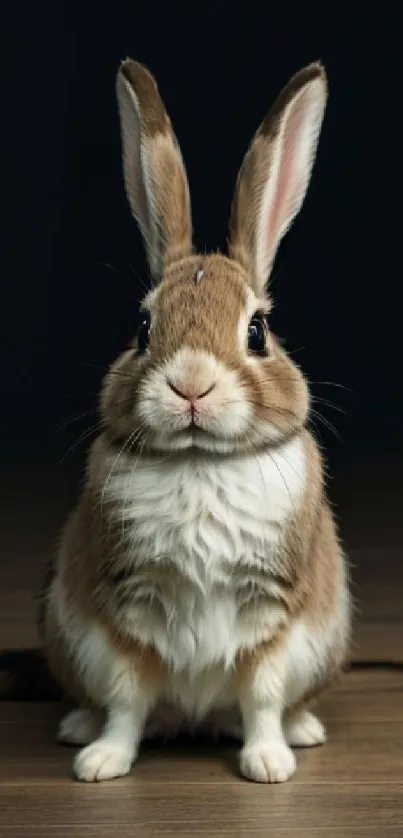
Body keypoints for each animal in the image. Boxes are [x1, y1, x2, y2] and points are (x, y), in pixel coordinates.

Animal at [39, 60, 352, 788]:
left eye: (257, 330)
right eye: (142, 326)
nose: (190, 385)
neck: (199, 461)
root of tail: (195, 721)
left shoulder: (272, 613)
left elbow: (260, 694)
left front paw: (268, 765)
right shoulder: (127, 609)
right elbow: (128, 696)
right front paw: (102, 764)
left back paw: (303, 732)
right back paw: (78, 729)